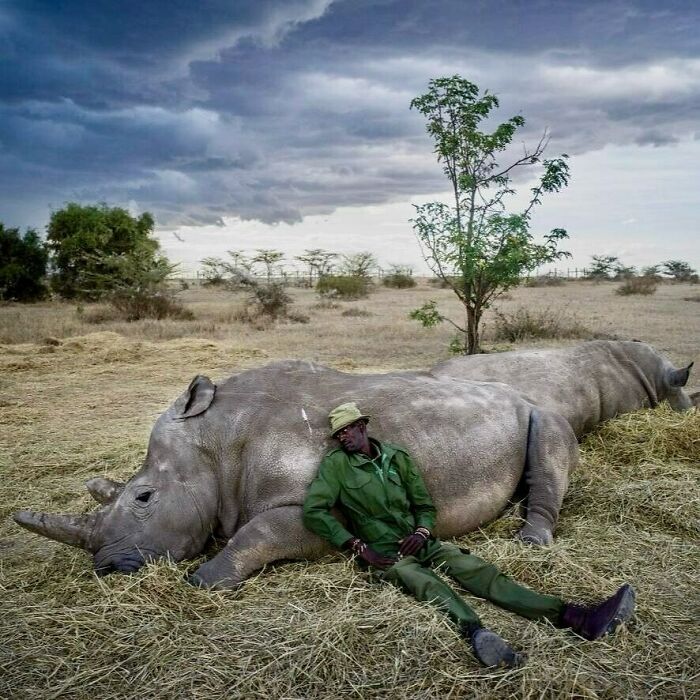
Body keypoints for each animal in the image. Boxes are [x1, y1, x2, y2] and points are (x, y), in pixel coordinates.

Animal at [14, 361, 580, 588]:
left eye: (144, 498)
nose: (107, 568)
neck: (215, 444)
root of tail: (522, 395)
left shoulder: (321, 509)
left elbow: (259, 531)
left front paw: (206, 579)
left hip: (541, 412)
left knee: (548, 445)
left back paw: (530, 543)